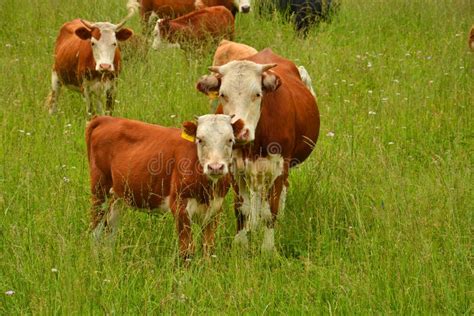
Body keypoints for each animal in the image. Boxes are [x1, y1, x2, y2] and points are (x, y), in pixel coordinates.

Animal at [85, 115, 246, 260]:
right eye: (200, 139)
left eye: (230, 140)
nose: (215, 167)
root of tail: (106, 118)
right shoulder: (179, 206)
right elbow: (187, 251)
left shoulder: (215, 209)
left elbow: (208, 248)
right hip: (100, 190)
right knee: (95, 230)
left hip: (119, 195)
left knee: (110, 228)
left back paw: (108, 259)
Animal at [194, 48, 320, 253]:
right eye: (222, 94)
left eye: (257, 94)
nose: (239, 130)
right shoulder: (235, 169)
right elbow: (242, 209)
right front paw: (241, 243)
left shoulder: (277, 168)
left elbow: (270, 212)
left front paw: (268, 248)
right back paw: (253, 225)